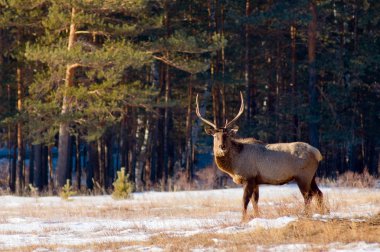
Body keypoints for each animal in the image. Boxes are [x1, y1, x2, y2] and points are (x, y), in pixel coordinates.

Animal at [196, 91, 326, 220]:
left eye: (227, 135)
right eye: (215, 136)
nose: (222, 146)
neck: (234, 165)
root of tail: (317, 153)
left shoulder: (248, 177)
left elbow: (245, 201)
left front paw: (243, 220)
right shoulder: (256, 180)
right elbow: (255, 201)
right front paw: (256, 217)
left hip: (303, 175)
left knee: (308, 196)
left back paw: (306, 214)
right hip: (312, 176)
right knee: (319, 193)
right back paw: (322, 212)